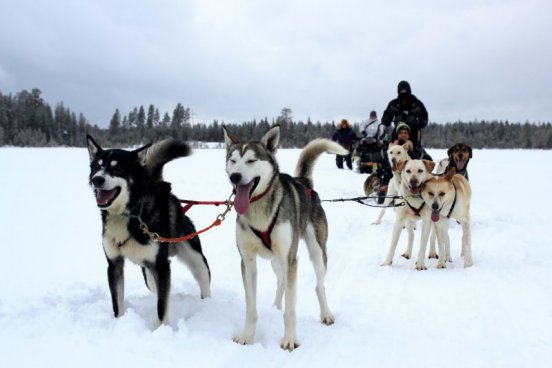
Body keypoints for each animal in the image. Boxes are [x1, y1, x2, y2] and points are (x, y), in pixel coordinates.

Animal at [86, 136, 211, 324]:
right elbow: (118, 304)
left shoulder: (162, 266)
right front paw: (119, 323)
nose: (97, 179)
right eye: (97, 166)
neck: (128, 215)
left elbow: (161, 307)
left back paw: (208, 307)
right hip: (148, 273)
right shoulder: (114, 264)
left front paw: (162, 328)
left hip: (196, 261)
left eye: (118, 168)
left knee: (203, 283)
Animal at [221, 124, 342, 350]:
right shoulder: (247, 261)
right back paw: (277, 304)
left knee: (319, 285)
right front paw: (247, 336)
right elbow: (251, 307)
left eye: (251, 160)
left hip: (315, 253)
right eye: (232, 161)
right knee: (281, 282)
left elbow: (291, 310)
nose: (235, 177)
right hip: (276, 261)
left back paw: (326, 314)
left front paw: (289, 340)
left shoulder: (291, 259)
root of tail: (305, 182)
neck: (259, 210)